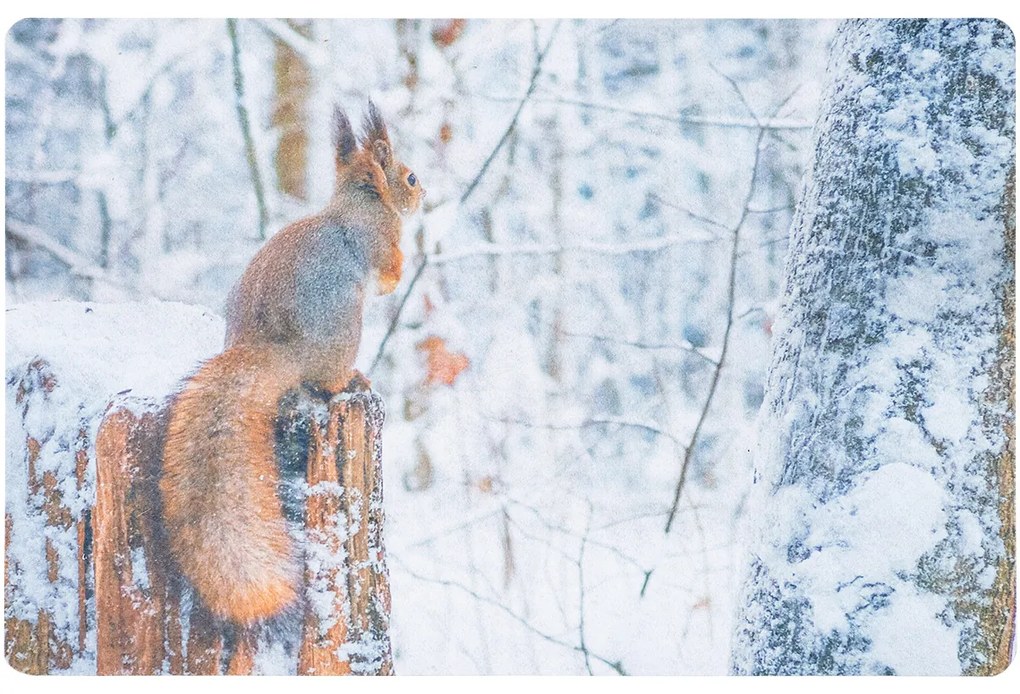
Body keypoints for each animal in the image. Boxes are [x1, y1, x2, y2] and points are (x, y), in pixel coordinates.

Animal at [161, 101, 424, 624]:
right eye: (408, 176)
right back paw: (353, 380)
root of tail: (276, 349)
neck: (360, 201)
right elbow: (388, 270)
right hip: (344, 329)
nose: (424, 193)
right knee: (325, 381)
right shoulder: (380, 240)